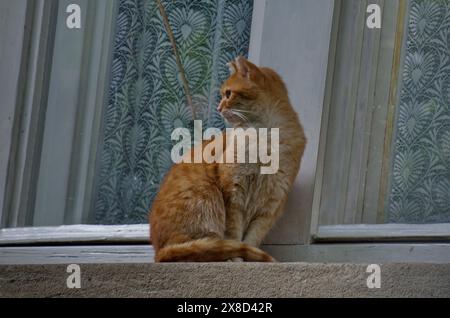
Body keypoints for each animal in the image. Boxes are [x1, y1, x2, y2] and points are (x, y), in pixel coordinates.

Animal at [150, 56, 306, 260]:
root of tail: (158, 251)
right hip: (207, 197)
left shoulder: (271, 204)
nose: (218, 108)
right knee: (205, 247)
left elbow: (252, 238)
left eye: (228, 93)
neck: (265, 138)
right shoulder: (233, 193)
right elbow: (234, 236)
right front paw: (238, 260)